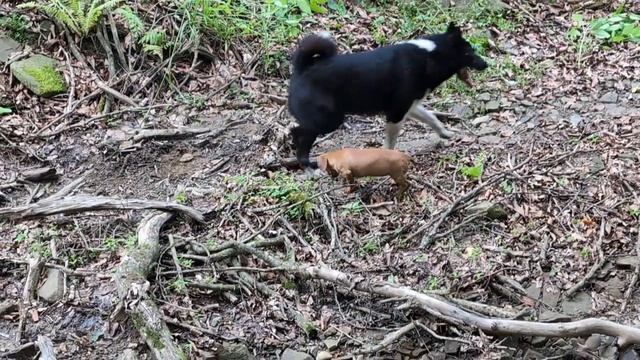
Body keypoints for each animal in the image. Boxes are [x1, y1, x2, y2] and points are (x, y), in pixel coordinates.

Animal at [288, 22, 488, 169]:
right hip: (329, 120)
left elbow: (431, 118)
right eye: (469, 52)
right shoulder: (396, 113)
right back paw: (306, 163)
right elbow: (390, 143)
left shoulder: (410, 106)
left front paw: (446, 133)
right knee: (298, 132)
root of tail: (302, 70)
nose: (486, 64)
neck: (430, 55)